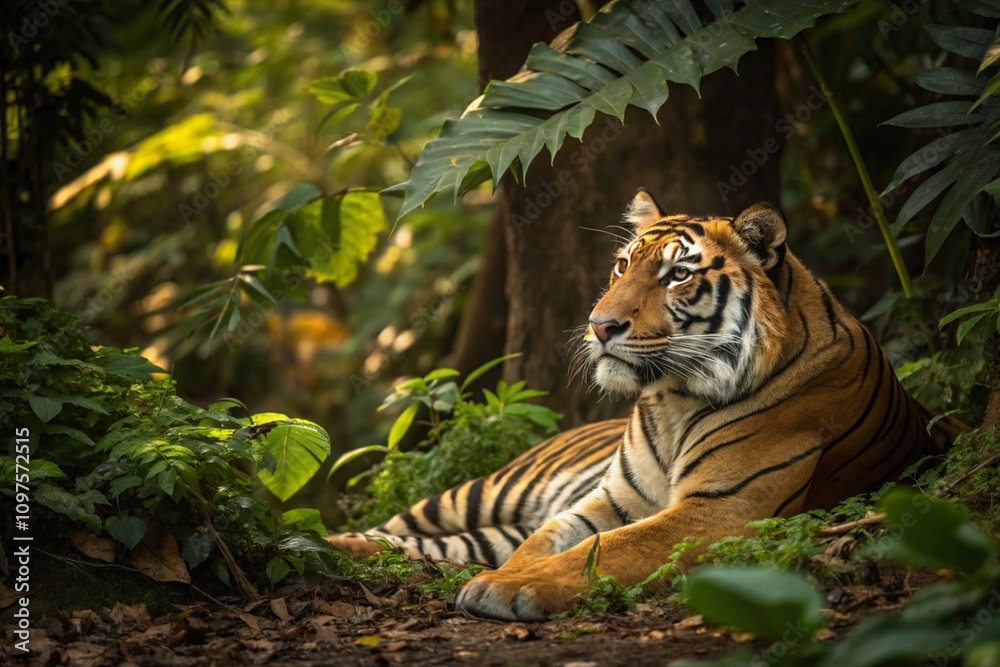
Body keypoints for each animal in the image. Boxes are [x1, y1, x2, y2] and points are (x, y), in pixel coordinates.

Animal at [329, 190, 967, 621]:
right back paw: (330, 545)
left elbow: (606, 549)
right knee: (399, 528)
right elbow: (550, 540)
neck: (674, 400)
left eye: (678, 275)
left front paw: (505, 588)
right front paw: (503, 578)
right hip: (481, 491)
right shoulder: (608, 500)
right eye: (621, 266)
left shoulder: (722, 509)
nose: (599, 324)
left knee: (428, 546)